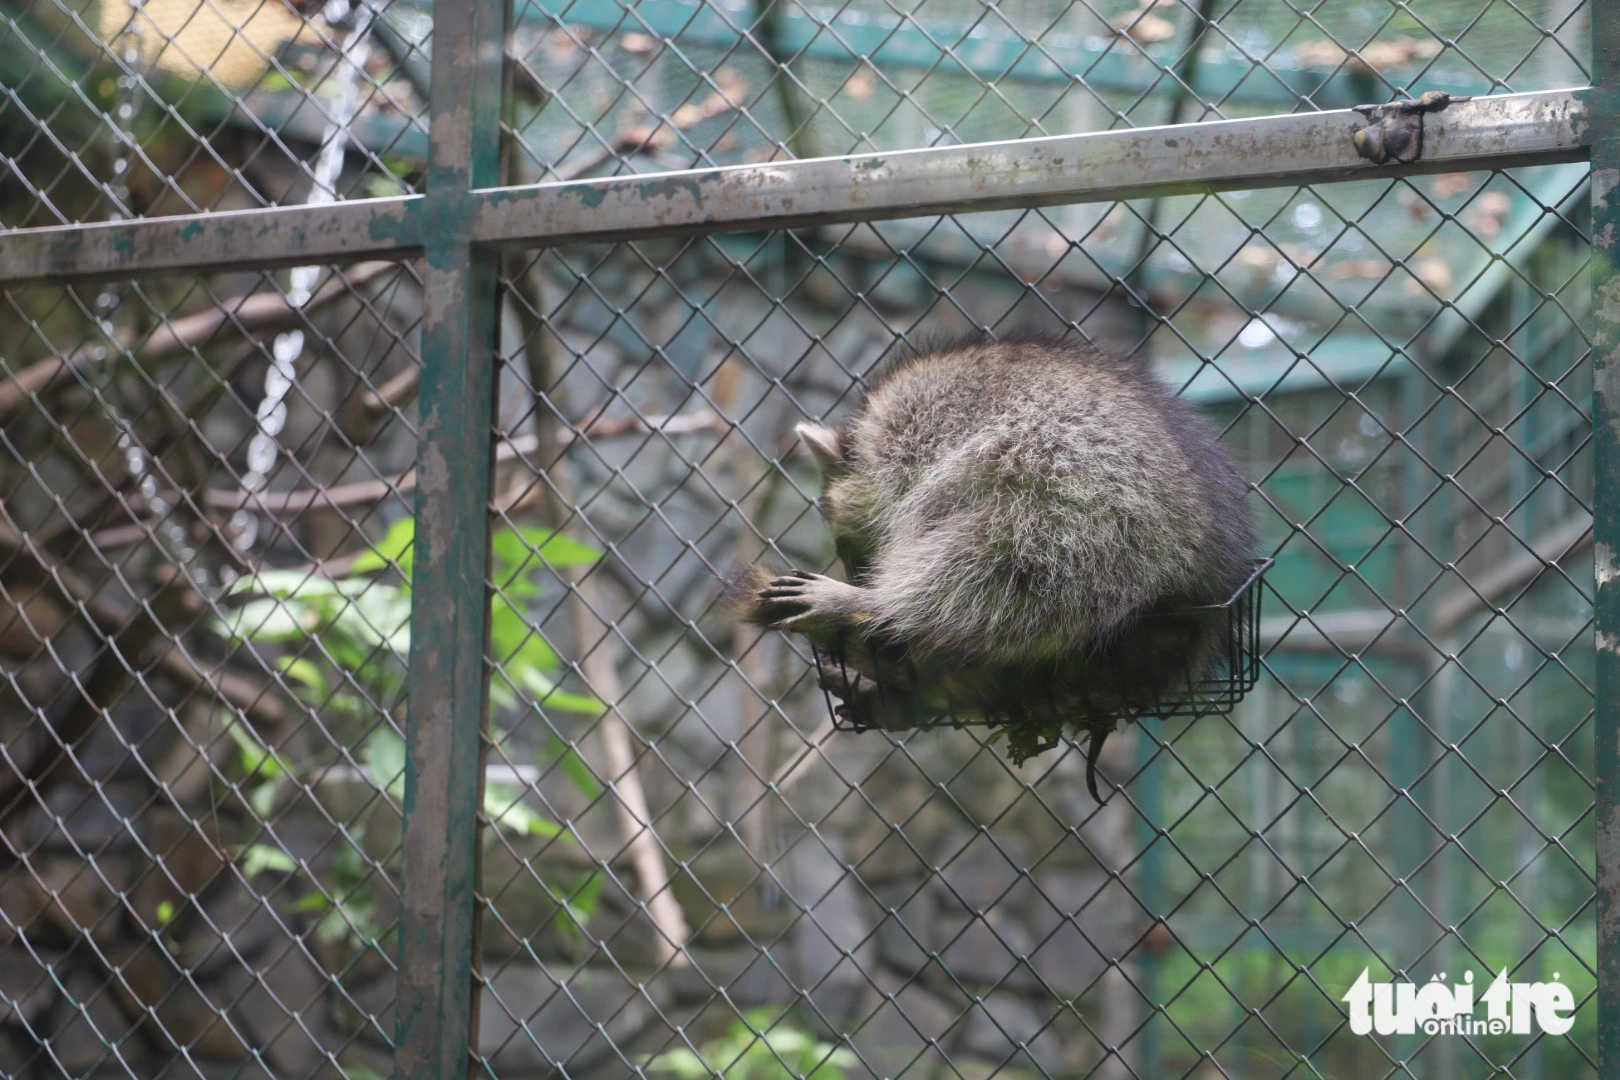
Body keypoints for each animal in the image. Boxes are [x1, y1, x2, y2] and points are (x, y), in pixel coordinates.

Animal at [729, 333, 1257, 799]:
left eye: (848, 545)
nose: (862, 576)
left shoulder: (914, 437)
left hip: (1082, 506)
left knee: (985, 570)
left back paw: (875, 616)